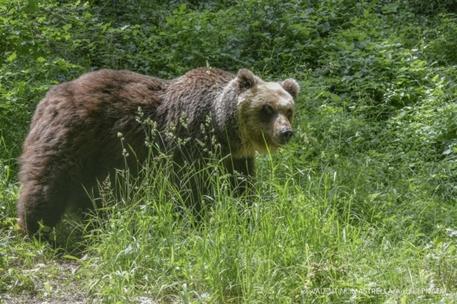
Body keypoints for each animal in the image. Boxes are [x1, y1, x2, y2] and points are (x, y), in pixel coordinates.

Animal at [16, 68, 300, 235]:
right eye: (267, 109)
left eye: (288, 110)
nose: (286, 132)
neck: (221, 128)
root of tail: (49, 96)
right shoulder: (189, 143)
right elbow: (190, 188)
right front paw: (196, 219)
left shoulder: (234, 158)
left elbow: (240, 187)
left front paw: (245, 214)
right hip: (73, 138)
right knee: (49, 180)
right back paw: (35, 227)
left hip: (97, 158)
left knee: (92, 192)